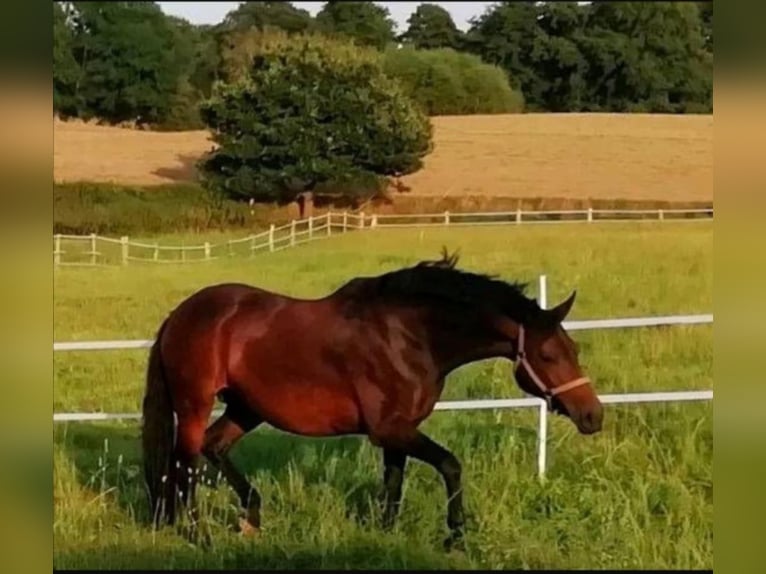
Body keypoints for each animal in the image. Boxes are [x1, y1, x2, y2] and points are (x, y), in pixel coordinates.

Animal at [141, 251, 604, 548]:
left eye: (574, 349)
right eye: (548, 355)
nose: (592, 416)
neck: (409, 335)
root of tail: (179, 315)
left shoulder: (398, 431)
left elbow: (393, 484)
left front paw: (386, 534)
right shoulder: (389, 429)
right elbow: (451, 465)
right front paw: (455, 534)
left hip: (246, 407)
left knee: (213, 448)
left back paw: (251, 519)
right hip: (195, 403)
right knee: (185, 462)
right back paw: (200, 535)